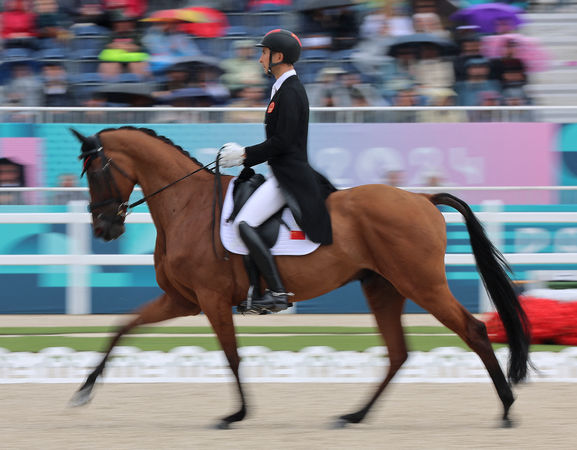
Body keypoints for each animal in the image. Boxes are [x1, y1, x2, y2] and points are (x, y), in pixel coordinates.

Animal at [70, 126, 528, 428]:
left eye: (97, 172)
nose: (104, 228)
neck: (187, 206)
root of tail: (423, 198)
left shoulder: (211, 299)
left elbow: (231, 355)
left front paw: (237, 413)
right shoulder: (183, 300)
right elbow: (123, 327)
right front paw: (84, 389)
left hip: (422, 285)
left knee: (473, 330)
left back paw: (507, 408)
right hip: (384, 288)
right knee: (398, 353)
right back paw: (355, 415)